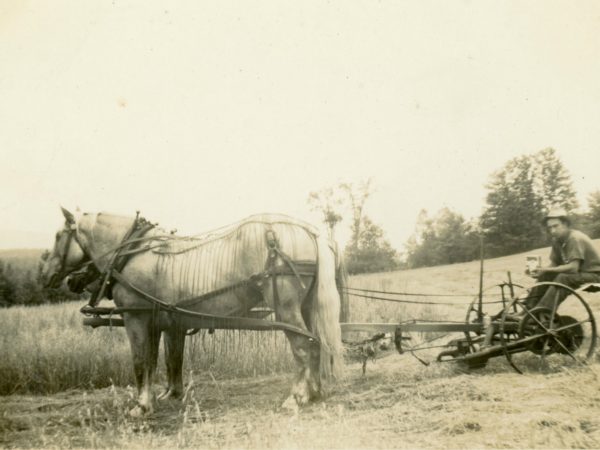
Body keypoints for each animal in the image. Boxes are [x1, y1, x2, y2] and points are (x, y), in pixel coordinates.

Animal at [41, 207, 342, 414]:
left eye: (57, 236)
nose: (47, 275)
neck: (133, 253)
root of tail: (307, 230)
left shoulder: (136, 318)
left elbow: (140, 362)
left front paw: (141, 405)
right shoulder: (165, 322)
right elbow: (166, 360)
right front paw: (167, 396)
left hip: (286, 308)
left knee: (304, 347)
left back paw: (297, 397)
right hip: (305, 307)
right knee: (315, 343)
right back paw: (314, 392)